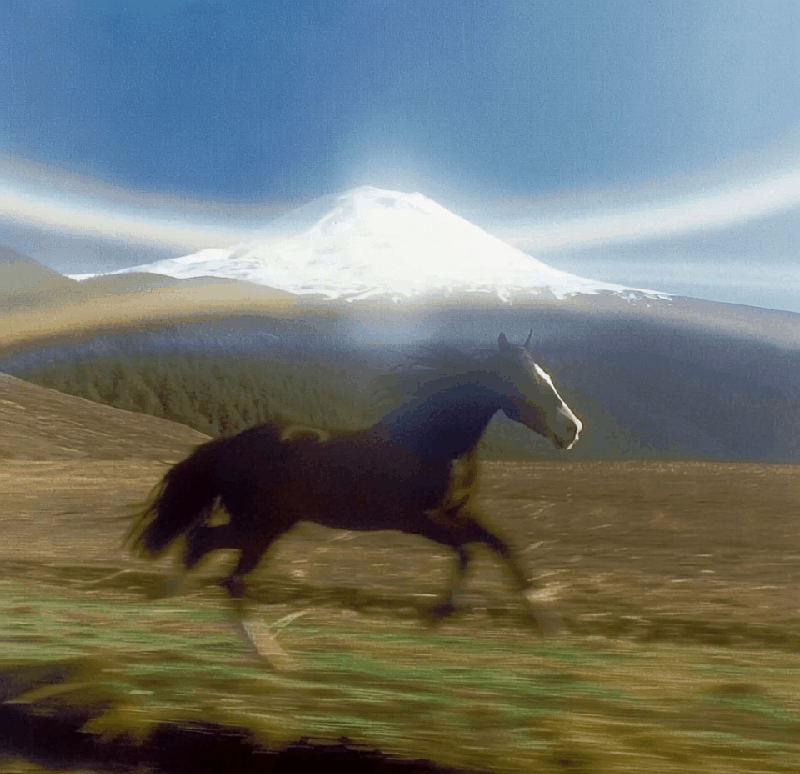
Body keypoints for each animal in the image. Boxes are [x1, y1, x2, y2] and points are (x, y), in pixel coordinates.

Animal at [127, 332, 582, 660]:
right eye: (526, 379)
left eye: (547, 376)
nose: (572, 429)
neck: (431, 444)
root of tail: (230, 445)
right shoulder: (420, 520)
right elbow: (469, 552)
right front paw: (436, 616)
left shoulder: (461, 511)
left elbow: (503, 546)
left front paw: (547, 623)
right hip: (260, 527)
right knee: (229, 574)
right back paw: (271, 656)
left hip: (264, 525)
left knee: (200, 543)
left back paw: (168, 606)